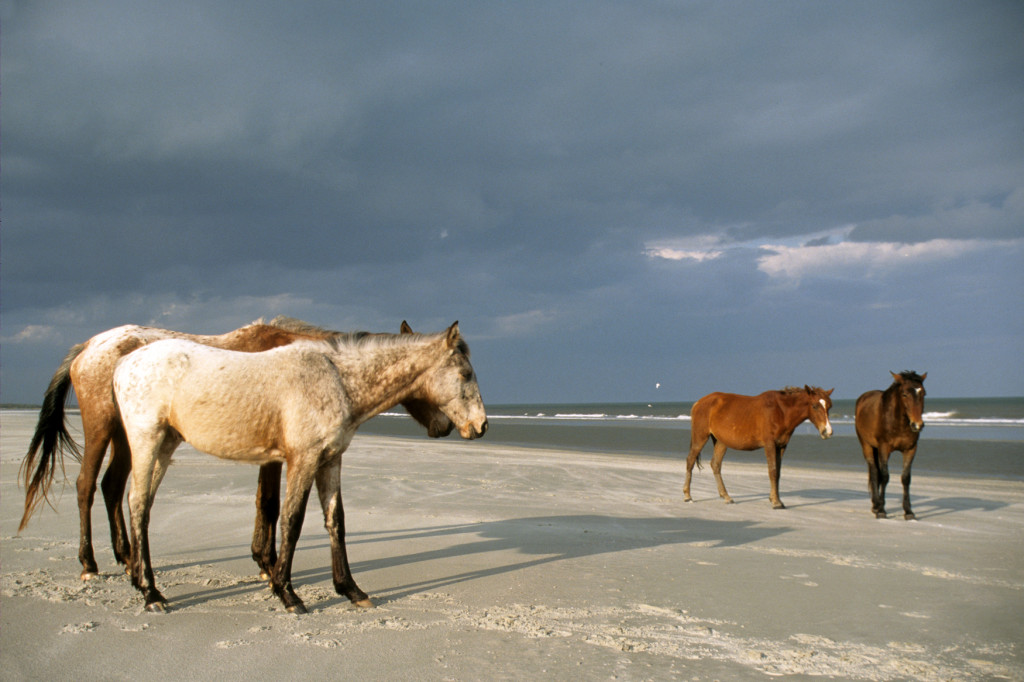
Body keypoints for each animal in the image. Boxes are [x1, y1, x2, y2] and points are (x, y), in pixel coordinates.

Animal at [18, 315, 450, 577]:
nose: (445, 426)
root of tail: (88, 345)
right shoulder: (279, 454)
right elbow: (271, 504)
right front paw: (268, 564)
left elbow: (268, 505)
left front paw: (264, 561)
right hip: (102, 429)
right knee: (87, 486)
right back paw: (90, 562)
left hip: (131, 437)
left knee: (112, 486)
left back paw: (127, 558)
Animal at [112, 319, 487, 610]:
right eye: (466, 373)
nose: (481, 426)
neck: (337, 379)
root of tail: (123, 363)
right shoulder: (302, 461)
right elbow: (291, 521)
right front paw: (287, 593)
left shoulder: (330, 461)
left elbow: (336, 522)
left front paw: (351, 590)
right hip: (147, 443)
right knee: (138, 504)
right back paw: (151, 593)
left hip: (165, 446)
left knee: (141, 506)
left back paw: (142, 582)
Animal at [684, 385, 835, 507]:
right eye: (815, 406)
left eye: (829, 407)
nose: (827, 432)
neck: (781, 411)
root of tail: (699, 403)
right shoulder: (769, 445)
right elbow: (772, 471)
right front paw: (776, 502)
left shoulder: (781, 446)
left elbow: (778, 473)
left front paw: (776, 499)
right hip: (700, 437)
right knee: (690, 461)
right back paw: (688, 496)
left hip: (721, 442)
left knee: (715, 464)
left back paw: (726, 497)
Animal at [856, 368, 929, 518]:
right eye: (904, 394)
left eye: (923, 393)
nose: (917, 425)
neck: (898, 422)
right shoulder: (884, 449)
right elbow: (884, 476)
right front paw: (882, 511)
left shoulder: (910, 449)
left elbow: (906, 478)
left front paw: (908, 511)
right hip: (867, 446)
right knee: (874, 472)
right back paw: (876, 505)